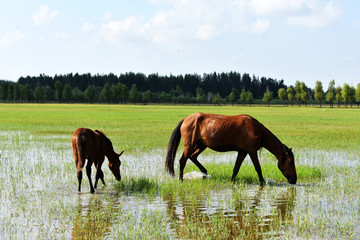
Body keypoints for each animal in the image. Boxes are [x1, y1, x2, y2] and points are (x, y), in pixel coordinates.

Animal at [165, 112, 296, 184]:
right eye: (290, 162)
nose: (294, 180)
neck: (256, 129)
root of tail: (186, 119)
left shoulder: (242, 152)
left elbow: (236, 168)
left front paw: (232, 180)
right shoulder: (252, 151)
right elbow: (258, 167)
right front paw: (262, 182)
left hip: (201, 145)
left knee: (192, 157)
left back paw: (204, 172)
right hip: (190, 145)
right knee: (183, 160)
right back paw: (181, 179)